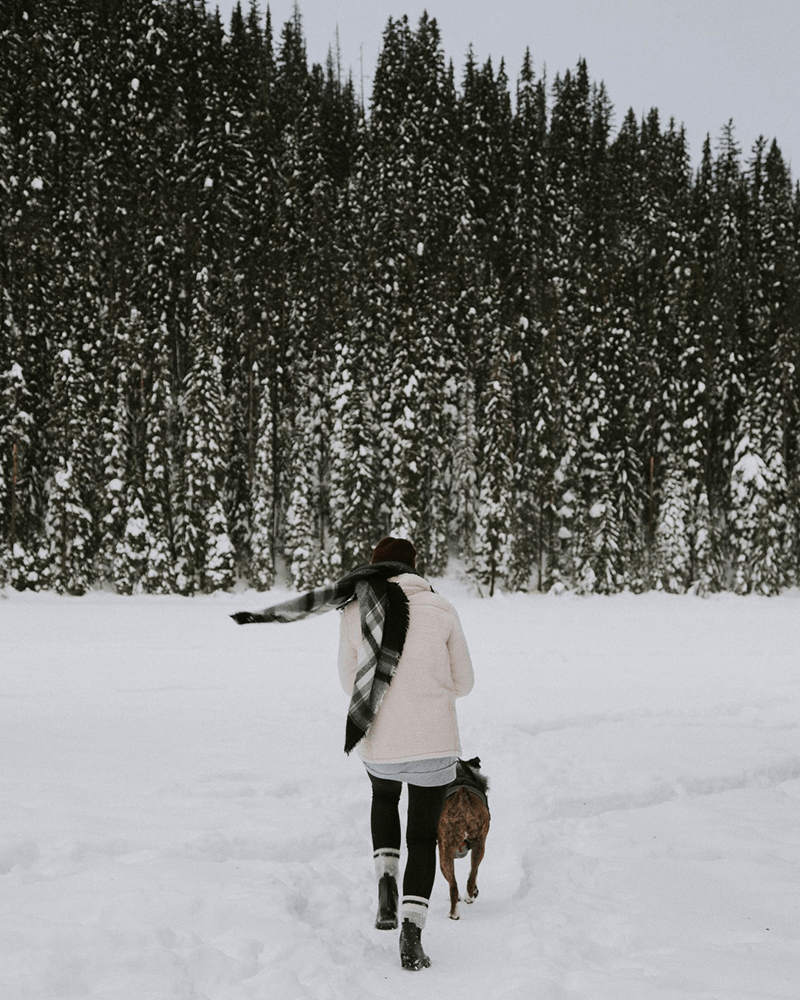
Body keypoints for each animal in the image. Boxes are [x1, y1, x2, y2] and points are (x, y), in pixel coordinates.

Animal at [438, 756, 488, 920]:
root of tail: (463, 799)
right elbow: (474, 871)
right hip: (479, 844)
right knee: (471, 875)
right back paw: (468, 898)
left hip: (446, 852)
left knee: (454, 886)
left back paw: (455, 911)